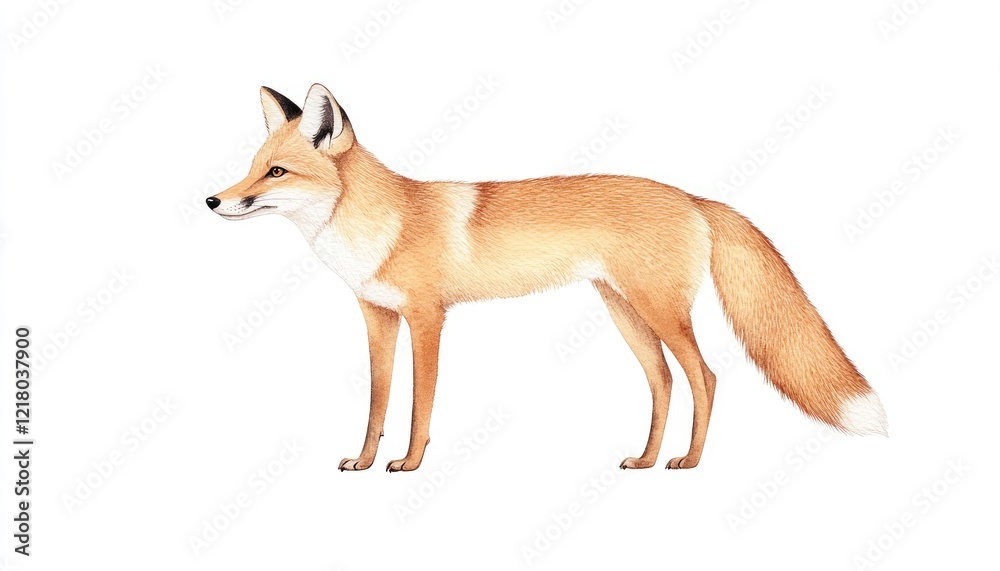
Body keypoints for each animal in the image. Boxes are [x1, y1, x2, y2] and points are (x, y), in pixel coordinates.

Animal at [207, 83, 887, 472]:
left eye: (276, 172)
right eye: (251, 167)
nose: (213, 201)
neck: (384, 224)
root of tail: (693, 198)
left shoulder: (427, 319)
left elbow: (420, 404)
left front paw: (409, 462)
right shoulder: (377, 318)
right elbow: (378, 400)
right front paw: (367, 460)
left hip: (660, 312)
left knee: (707, 377)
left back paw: (690, 461)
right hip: (624, 313)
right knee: (665, 382)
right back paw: (646, 459)